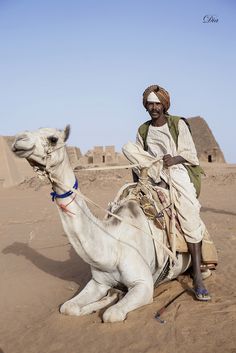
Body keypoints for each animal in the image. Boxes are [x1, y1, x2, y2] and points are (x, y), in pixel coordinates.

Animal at [12, 126, 191, 322]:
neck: (113, 247)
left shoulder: (143, 285)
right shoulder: (98, 282)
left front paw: (111, 300)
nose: (18, 140)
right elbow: (68, 307)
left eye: (53, 139)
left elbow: (111, 314)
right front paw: (108, 297)